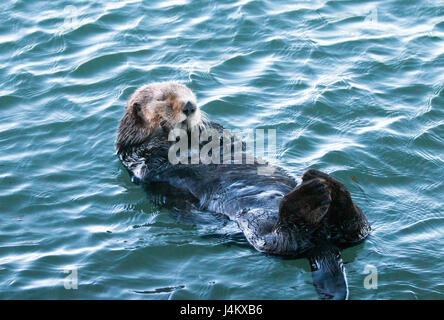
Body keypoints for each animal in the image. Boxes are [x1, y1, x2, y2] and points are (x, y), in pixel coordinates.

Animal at [115, 82, 372, 300]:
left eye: (190, 94)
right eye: (162, 99)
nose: (189, 106)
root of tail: (322, 243)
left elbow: (220, 135)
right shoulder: (136, 154)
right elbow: (154, 151)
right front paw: (166, 126)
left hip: (342, 230)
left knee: (357, 229)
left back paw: (328, 185)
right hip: (260, 230)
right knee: (283, 242)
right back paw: (313, 195)